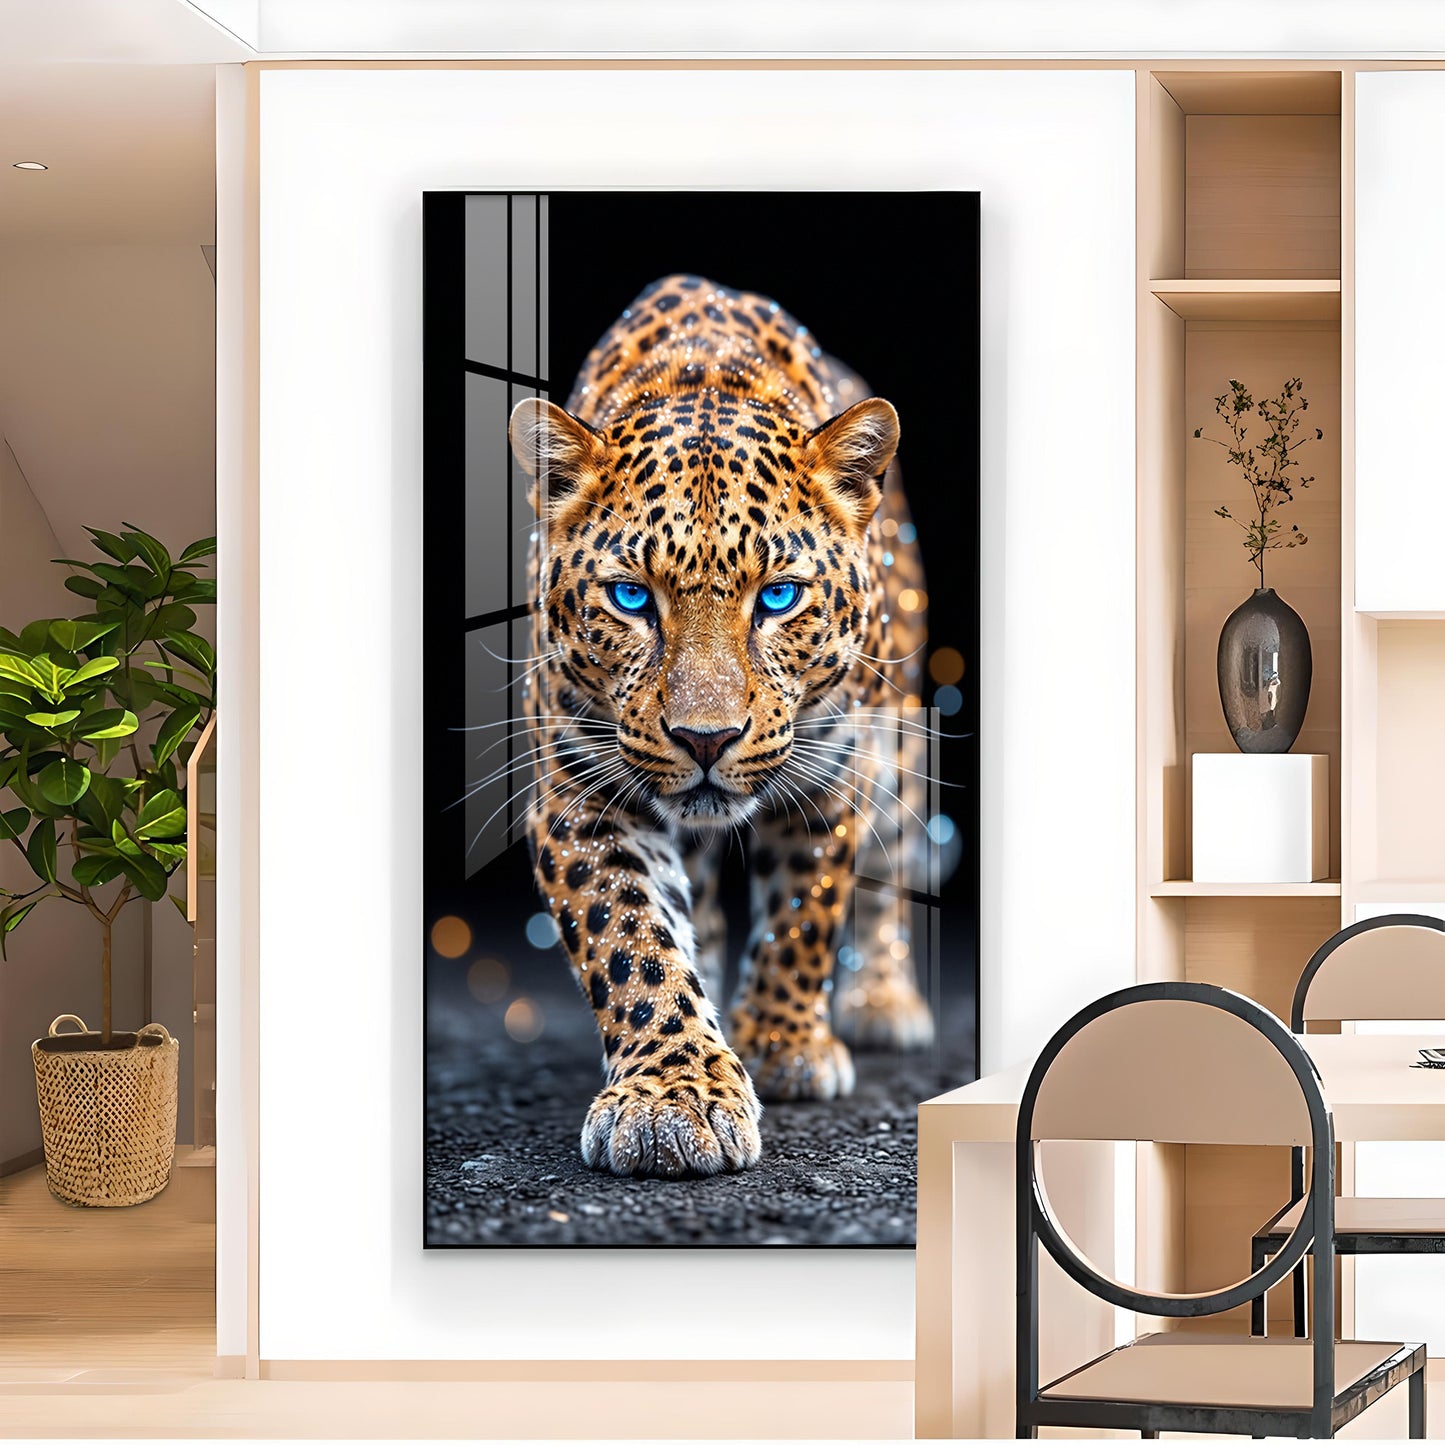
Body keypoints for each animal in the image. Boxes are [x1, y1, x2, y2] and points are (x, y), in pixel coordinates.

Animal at [506, 273, 936, 1179]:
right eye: (630, 596)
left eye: (778, 596)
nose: (705, 740)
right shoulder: (579, 793)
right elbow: (630, 935)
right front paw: (673, 1095)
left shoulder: (831, 770)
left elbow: (804, 911)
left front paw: (782, 1043)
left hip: (899, 749)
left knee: (890, 868)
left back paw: (882, 999)